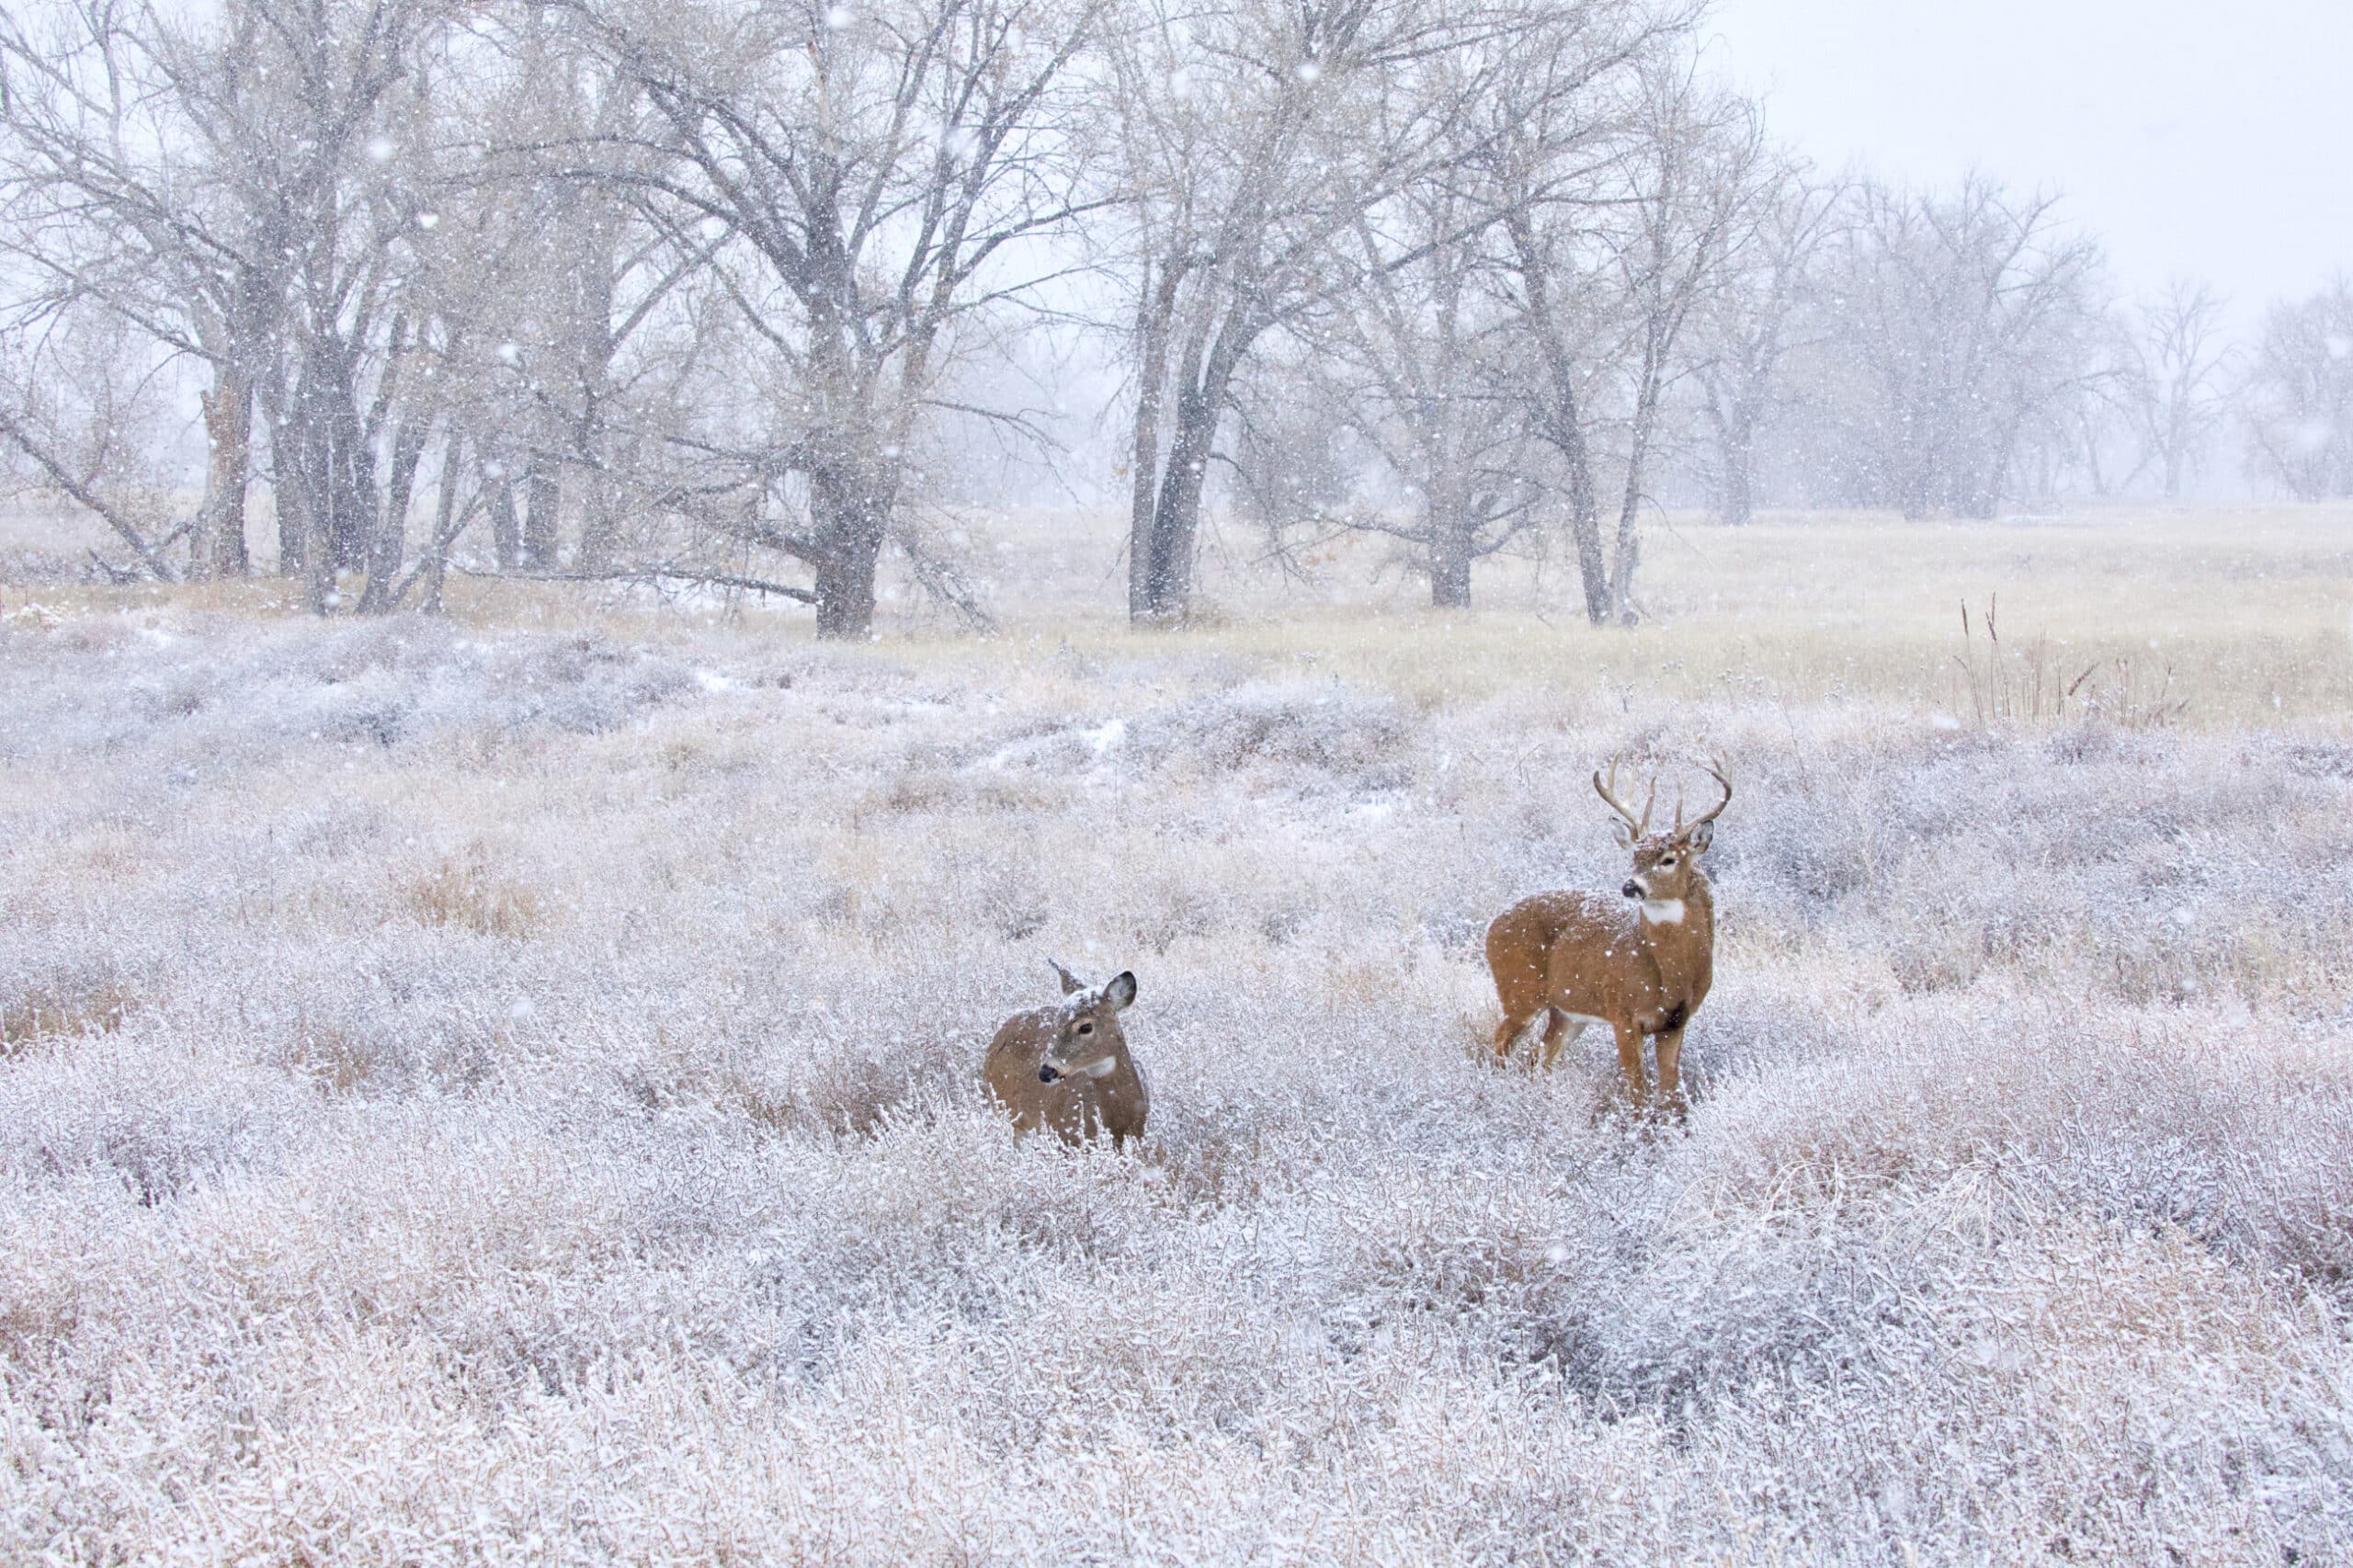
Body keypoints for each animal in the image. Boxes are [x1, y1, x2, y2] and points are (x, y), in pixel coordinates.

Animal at [1485, 758, 1731, 1115]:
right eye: (1634, 857)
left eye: (1669, 859)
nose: (1630, 886)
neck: (1669, 973)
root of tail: (1491, 926)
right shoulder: (1622, 1012)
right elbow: (1637, 1093)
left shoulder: (1676, 1021)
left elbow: (1669, 1094)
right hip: (1520, 992)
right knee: (1498, 1046)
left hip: (1567, 1011)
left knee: (1539, 1058)